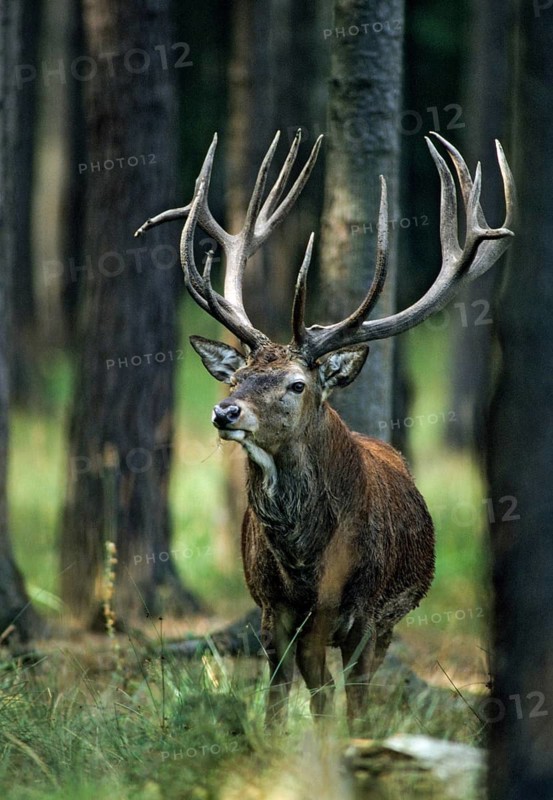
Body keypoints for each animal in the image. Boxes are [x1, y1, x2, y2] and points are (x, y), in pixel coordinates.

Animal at [135, 129, 514, 728]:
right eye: (237, 376)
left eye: (296, 384)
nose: (226, 412)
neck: (308, 565)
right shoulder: (273, 610)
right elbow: (281, 696)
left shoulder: (364, 613)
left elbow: (352, 698)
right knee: (315, 690)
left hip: (390, 619)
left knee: (355, 686)